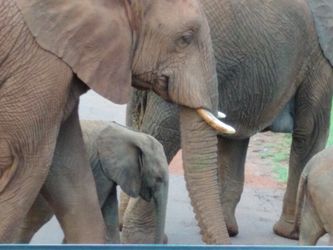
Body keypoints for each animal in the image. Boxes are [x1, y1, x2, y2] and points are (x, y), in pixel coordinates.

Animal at [14, 121, 169, 244]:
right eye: (158, 178)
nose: (164, 241)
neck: (132, 134)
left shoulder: (107, 174)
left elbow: (109, 220)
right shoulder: (98, 170)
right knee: (36, 218)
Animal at [124, 0, 332, 243]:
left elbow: (235, 140)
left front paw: (229, 228)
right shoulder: (320, 57)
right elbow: (310, 134)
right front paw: (289, 233)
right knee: (165, 133)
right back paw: (143, 237)